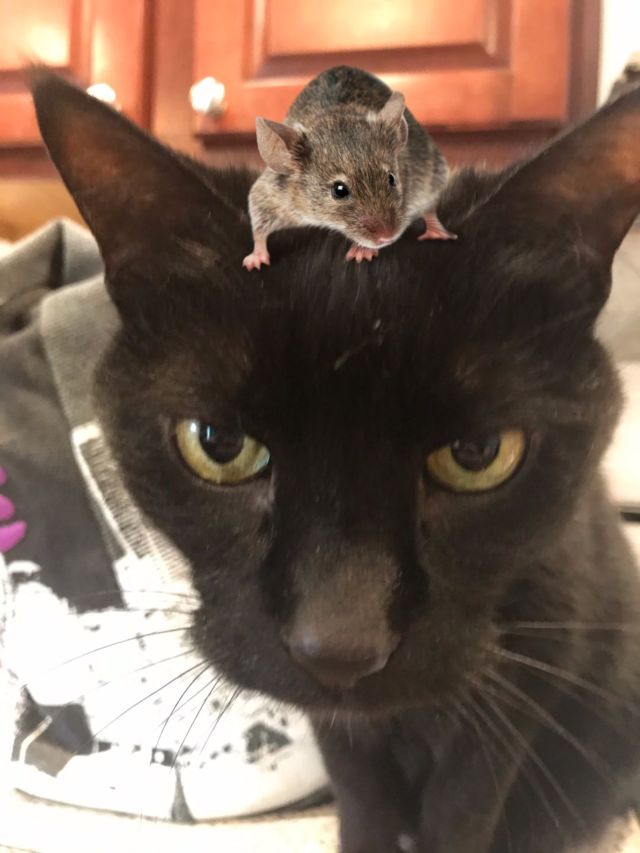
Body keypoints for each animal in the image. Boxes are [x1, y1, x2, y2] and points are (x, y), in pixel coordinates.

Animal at [243, 65, 455, 270]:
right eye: (339, 190)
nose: (389, 237)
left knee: (430, 208)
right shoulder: (270, 194)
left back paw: (436, 232)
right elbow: (258, 229)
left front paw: (362, 251)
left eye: (392, 178)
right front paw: (255, 259)